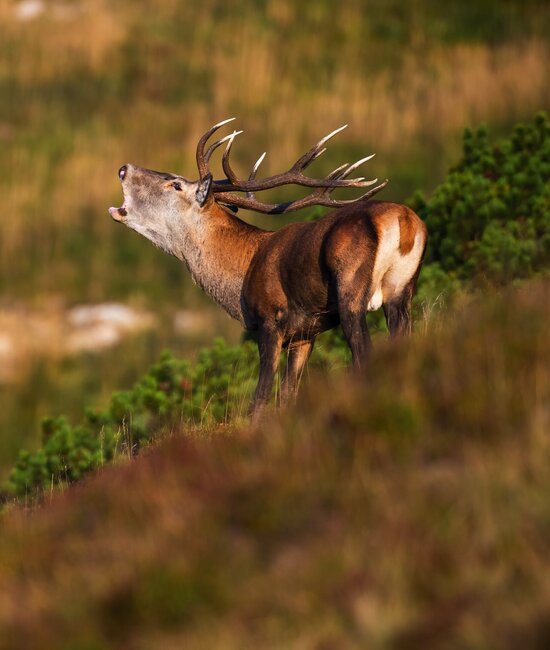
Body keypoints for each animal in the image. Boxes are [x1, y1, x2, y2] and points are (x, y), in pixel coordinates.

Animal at [108, 119, 426, 412]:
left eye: (176, 184)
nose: (123, 168)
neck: (243, 269)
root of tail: (406, 222)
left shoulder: (270, 320)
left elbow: (259, 398)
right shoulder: (304, 334)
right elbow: (287, 395)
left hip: (351, 289)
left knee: (364, 354)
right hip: (402, 289)